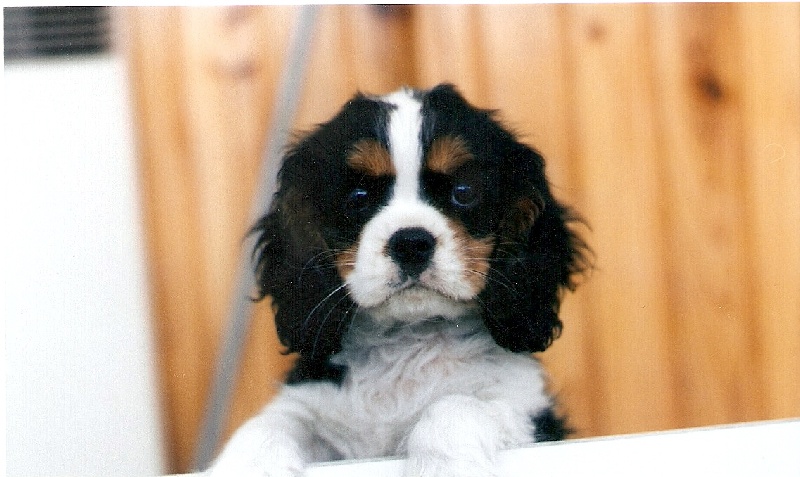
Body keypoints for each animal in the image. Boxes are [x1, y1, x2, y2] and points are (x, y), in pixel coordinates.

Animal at [208, 84, 588, 477]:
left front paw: (442, 467)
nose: (411, 243)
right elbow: (267, 424)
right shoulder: (311, 406)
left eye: (464, 192)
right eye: (357, 198)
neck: (405, 341)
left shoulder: (522, 409)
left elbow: (455, 405)